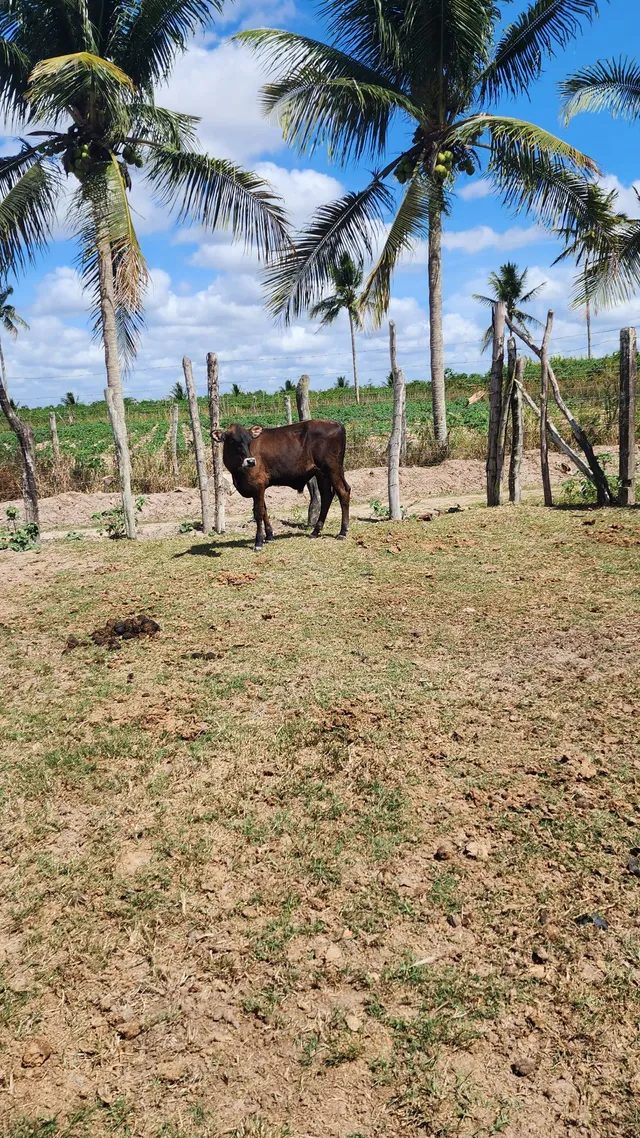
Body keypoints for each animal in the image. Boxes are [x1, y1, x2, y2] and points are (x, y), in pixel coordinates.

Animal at [211, 420, 350, 551]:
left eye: (249, 441)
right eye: (232, 441)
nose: (250, 461)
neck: (237, 473)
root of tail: (336, 423)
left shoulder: (258, 485)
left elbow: (258, 512)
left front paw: (258, 542)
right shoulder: (259, 488)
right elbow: (264, 510)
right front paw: (269, 536)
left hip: (332, 469)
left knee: (343, 491)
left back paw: (342, 532)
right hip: (321, 473)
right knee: (327, 496)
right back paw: (316, 531)